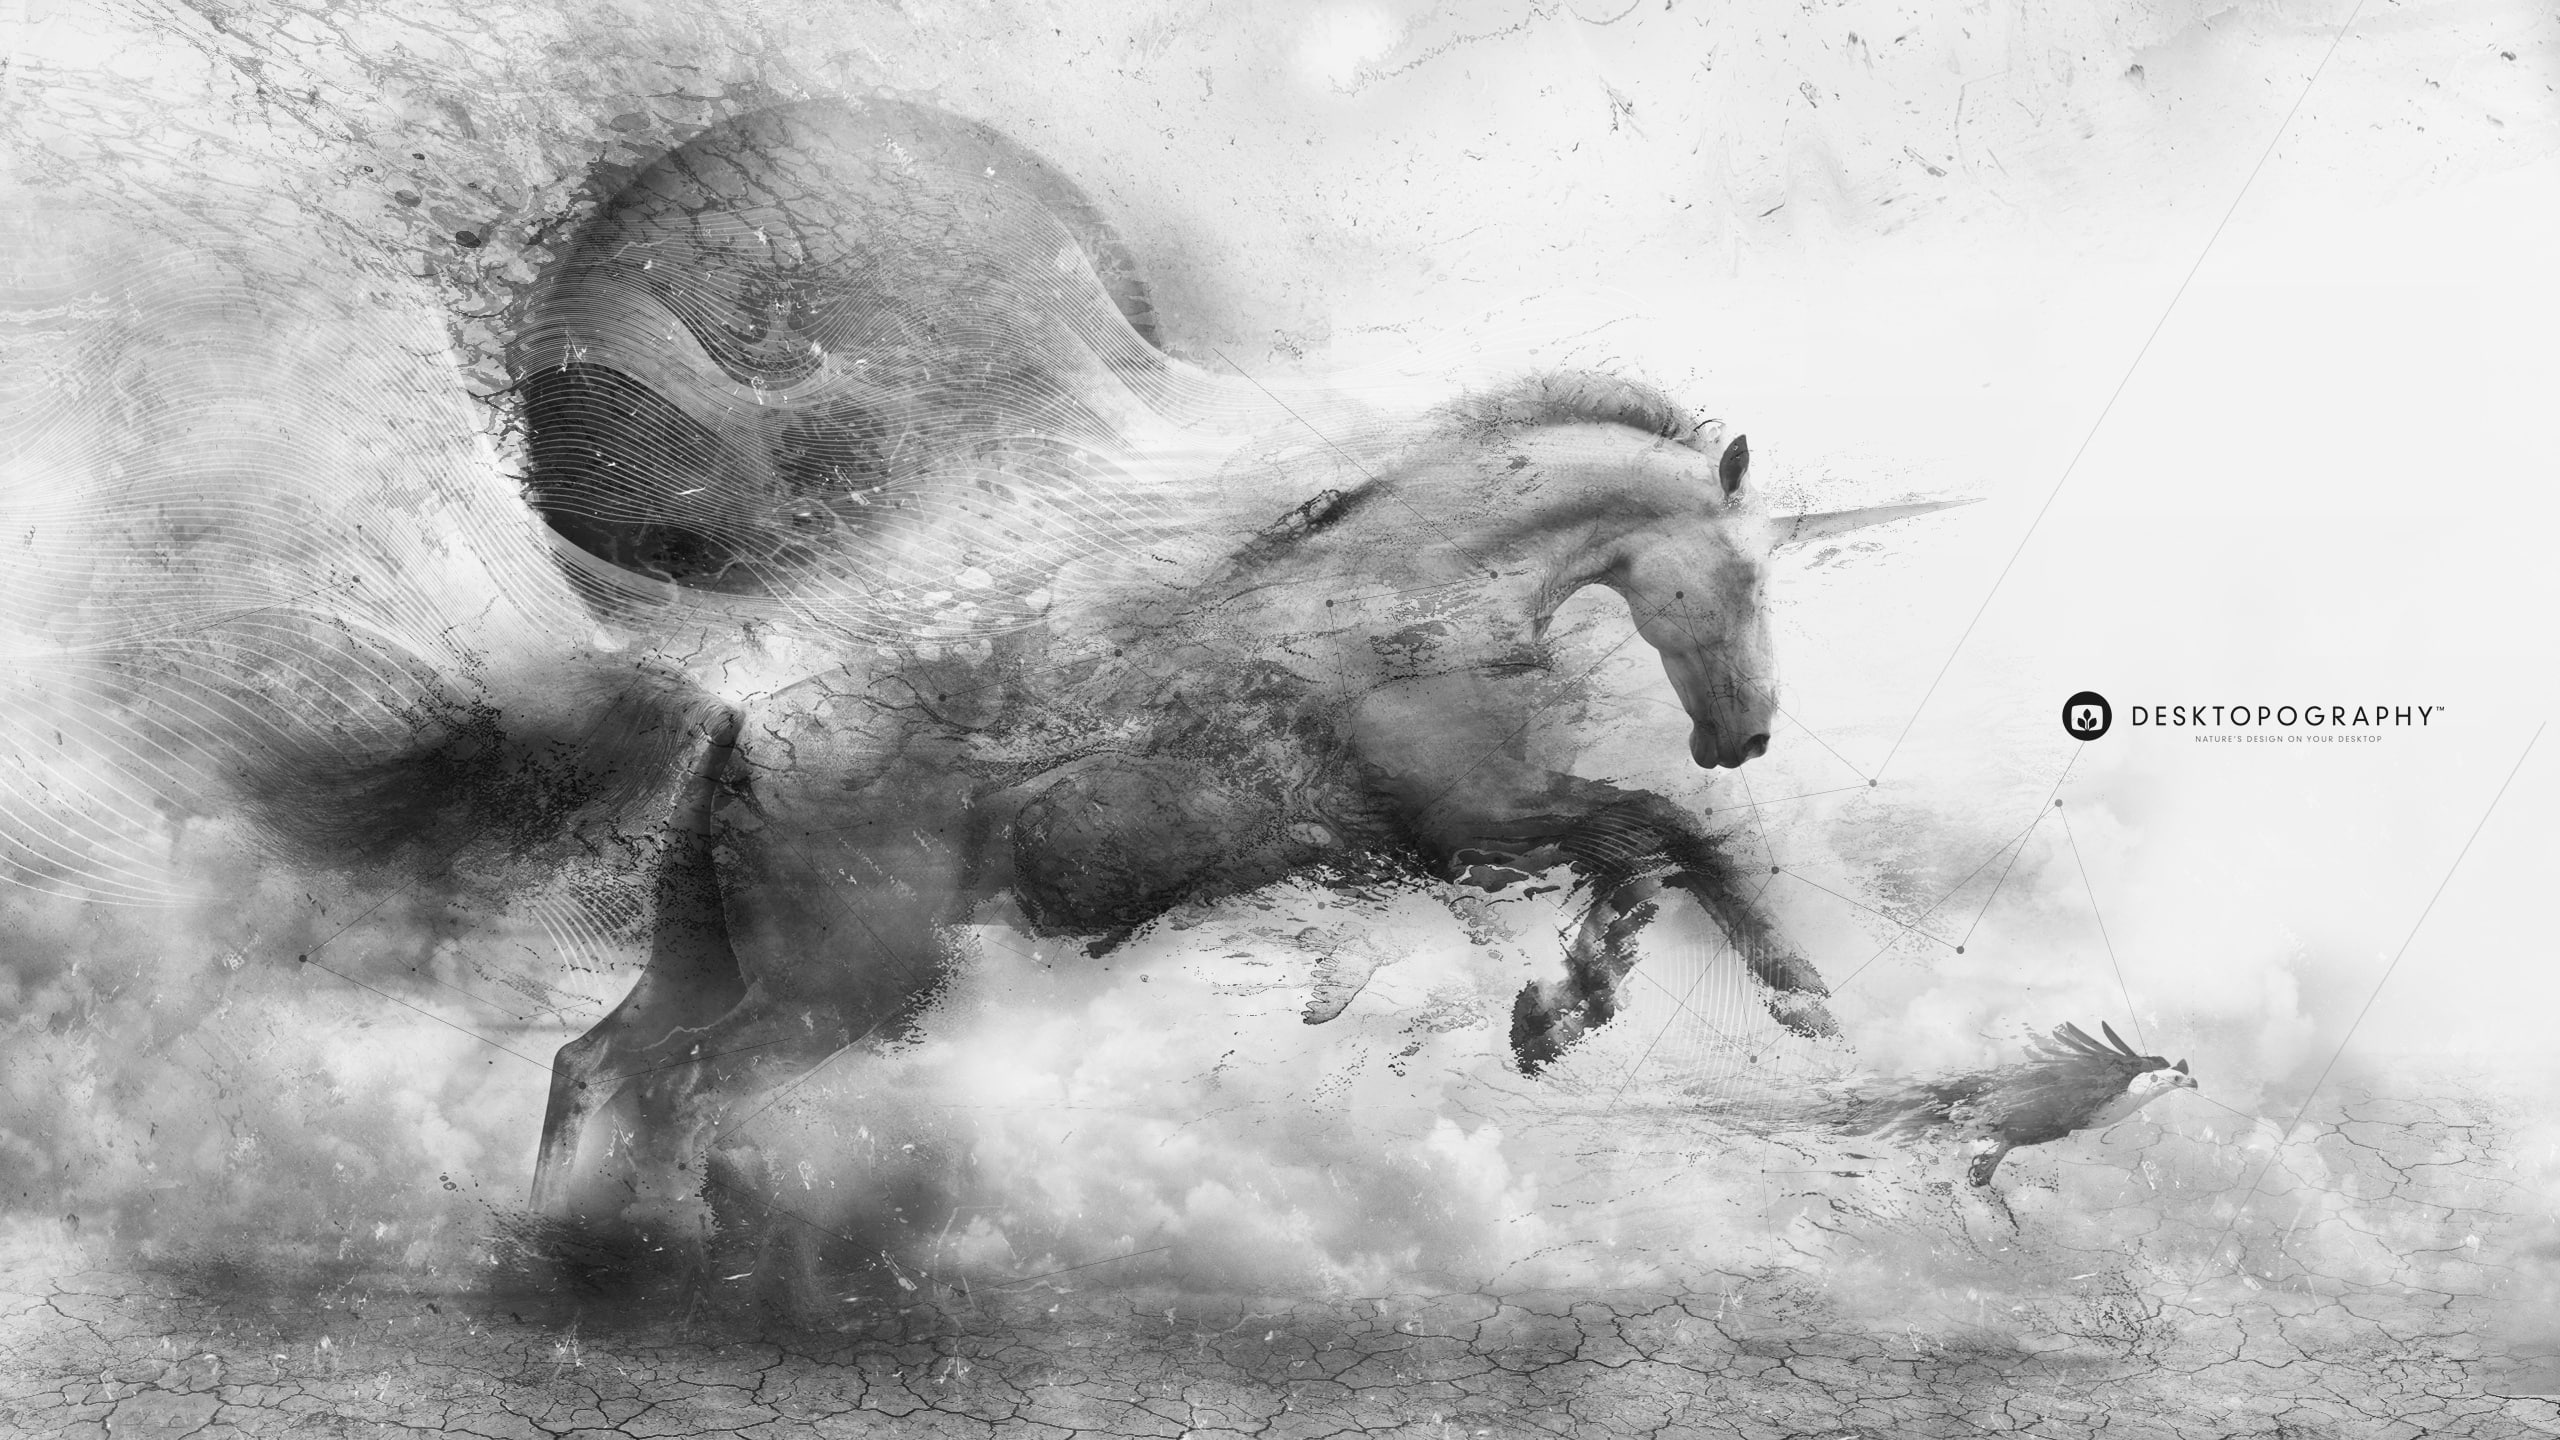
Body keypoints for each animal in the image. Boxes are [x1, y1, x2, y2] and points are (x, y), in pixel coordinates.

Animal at [527, 369, 1957, 1227]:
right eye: (1748, 575)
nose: (1744, 734)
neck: (1413, 598)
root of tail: (739, 730)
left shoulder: (1461, 839)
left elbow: (1646, 850)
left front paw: (1580, 1002)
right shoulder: (1476, 820)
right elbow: (1669, 830)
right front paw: (1760, 991)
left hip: (716, 964)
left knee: (594, 1064)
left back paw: (560, 1247)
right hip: (846, 988)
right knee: (683, 1092)